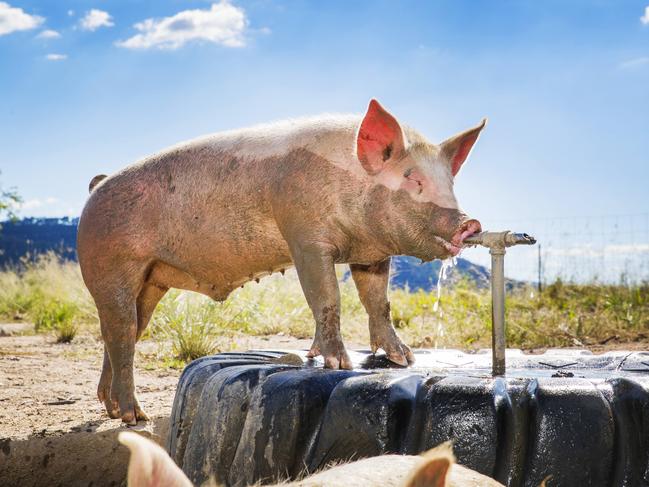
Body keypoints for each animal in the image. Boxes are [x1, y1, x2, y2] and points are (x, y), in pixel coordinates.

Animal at [76, 100, 484, 424]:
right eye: (413, 179)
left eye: (450, 183)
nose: (470, 223)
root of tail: (97, 186)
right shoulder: (305, 238)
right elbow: (327, 297)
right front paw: (340, 365)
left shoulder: (372, 254)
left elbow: (378, 303)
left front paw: (404, 360)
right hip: (109, 267)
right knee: (122, 332)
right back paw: (134, 417)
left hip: (152, 280)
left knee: (125, 331)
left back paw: (112, 408)